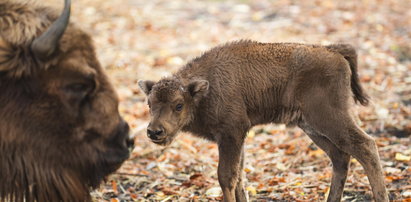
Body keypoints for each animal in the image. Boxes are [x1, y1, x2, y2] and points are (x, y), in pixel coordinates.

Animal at [139, 39, 390, 202]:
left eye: (178, 105)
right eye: (149, 103)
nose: (155, 132)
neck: (204, 91)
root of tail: (333, 51)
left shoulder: (231, 133)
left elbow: (226, 176)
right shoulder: (236, 138)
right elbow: (239, 177)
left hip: (329, 118)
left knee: (365, 146)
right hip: (311, 126)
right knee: (340, 157)